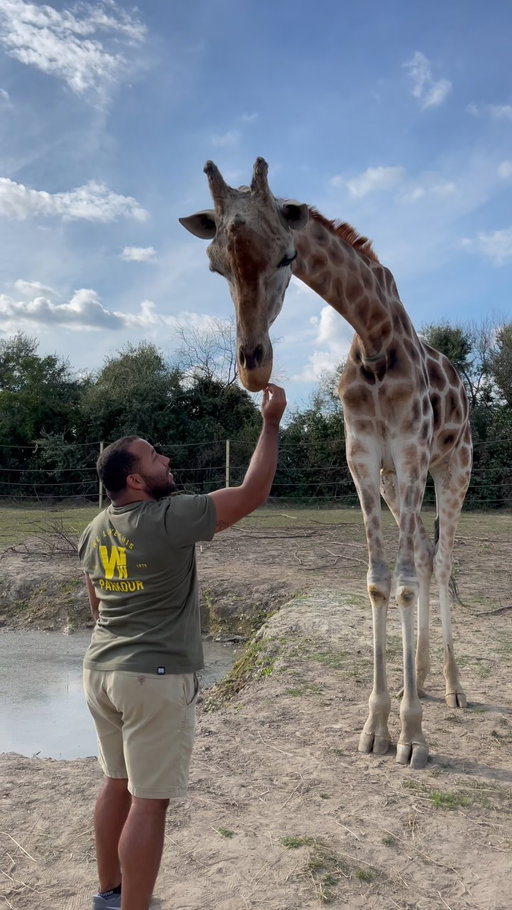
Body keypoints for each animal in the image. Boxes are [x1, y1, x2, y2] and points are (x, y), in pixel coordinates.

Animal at [180, 157, 472, 769]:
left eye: (288, 257)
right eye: (216, 265)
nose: (254, 367)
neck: (375, 334)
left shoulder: (411, 454)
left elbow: (403, 583)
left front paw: (412, 738)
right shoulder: (363, 460)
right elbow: (380, 582)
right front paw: (378, 726)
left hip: (453, 468)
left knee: (441, 563)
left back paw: (455, 687)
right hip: (394, 482)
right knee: (425, 556)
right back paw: (422, 678)